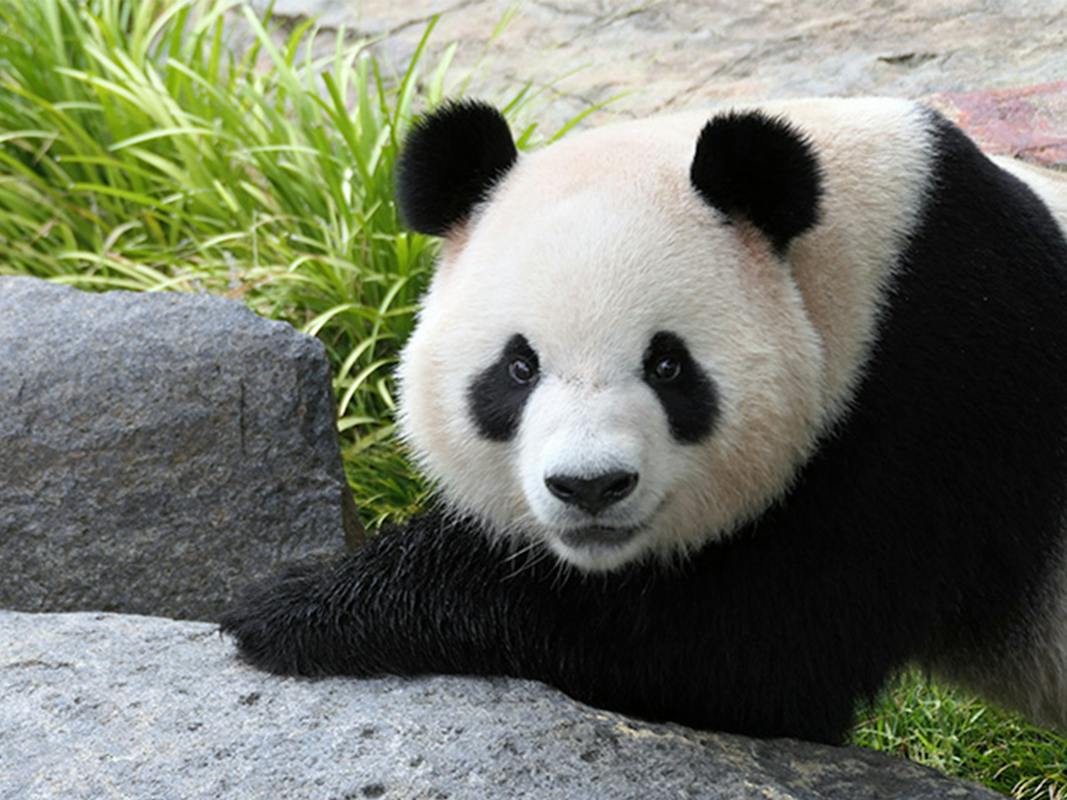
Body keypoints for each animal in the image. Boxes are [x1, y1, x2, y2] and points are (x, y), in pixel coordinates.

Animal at [222, 97, 1067, 745]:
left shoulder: (933, 405)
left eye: (667, 366)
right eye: (518, 368)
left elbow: (740, 650)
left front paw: (292, 606)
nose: (589, 487)